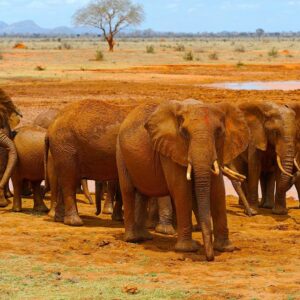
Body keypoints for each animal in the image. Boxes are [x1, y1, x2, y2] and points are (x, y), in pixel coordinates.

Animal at [116, 99, 250, 262]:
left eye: (219, 132)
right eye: (184, 133)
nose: (209, 257)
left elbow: (218, 190)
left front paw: (226, 248)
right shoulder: (170, 148)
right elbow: (181, 190)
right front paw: (188, 249)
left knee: (143, 193)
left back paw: (145, 237)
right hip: (120, 152)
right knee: (128, 190)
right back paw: (133, 239)